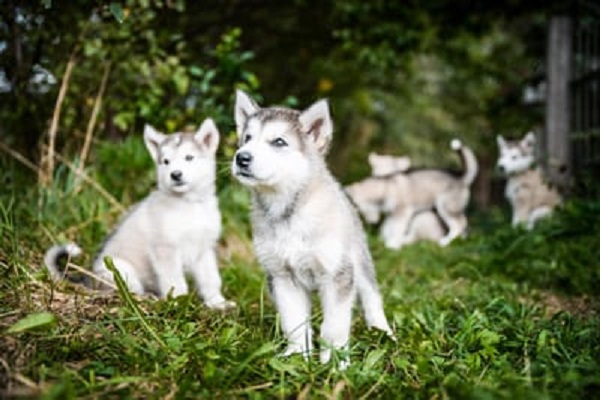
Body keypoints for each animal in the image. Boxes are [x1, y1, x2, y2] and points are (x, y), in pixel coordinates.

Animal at [43, 119, 236, 310]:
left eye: (189, 158)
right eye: (166, 161)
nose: (175, 175)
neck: (189, 204)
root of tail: (88, 280)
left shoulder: (204, 250)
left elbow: (211, 279)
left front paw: (218, 302)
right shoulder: (165, 250)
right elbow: (175, 281)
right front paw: (178, 302)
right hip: (121, 271)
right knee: (128, 292)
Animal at [230, 89, 394, 368]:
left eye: (279, 142)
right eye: (247, 139)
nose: (241, 157)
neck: (288, 212)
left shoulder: (337, 275)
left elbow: (334, 326)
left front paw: (334, 364)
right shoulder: (282, 277)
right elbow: (294, 322)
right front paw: (297, 357)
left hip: (359, 262)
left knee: (372, 297)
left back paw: (382, 332)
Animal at [344, 139, 476, 248]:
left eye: (357, 208)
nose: (371, 222)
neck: (386, 187)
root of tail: (461, 178)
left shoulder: (402, 212)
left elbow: (396, 228)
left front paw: (392, 244)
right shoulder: (392, 214)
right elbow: (389, 227)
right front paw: (385, 239)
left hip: (444, 208)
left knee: (458, 225)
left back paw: (446, 241)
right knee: (463, 223)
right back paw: (460, 240)